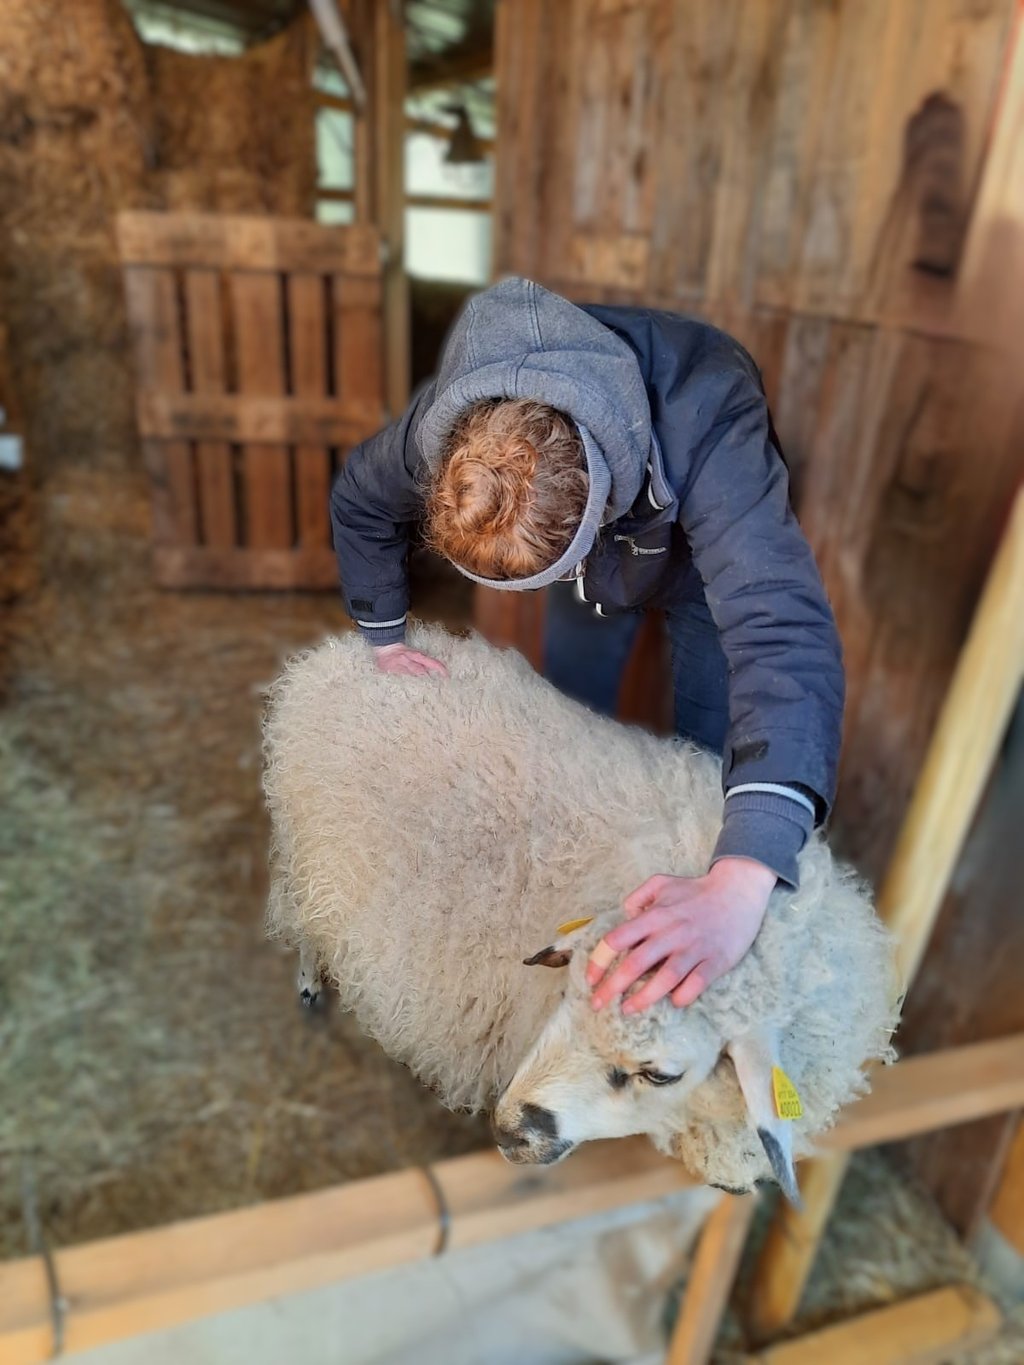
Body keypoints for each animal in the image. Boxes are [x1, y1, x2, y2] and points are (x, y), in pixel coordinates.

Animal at [263, 624, 899, 1201]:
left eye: (660, 1074)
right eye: (566, 993)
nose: (510, 1129)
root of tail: (337, 655)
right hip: (309, 862)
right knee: (305, 926)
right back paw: (309, 983)